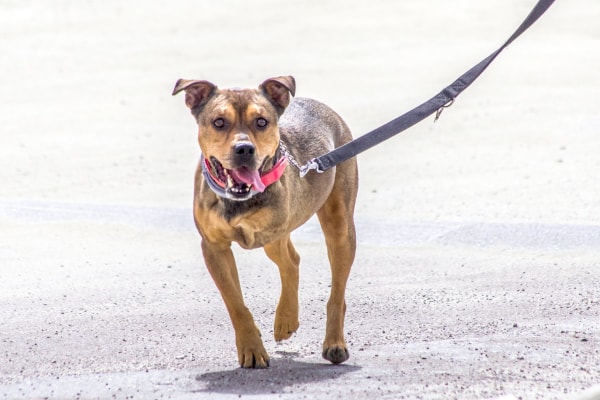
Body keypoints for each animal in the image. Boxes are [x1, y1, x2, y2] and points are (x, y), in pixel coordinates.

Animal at [170, 76, 356, 368]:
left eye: (261, 122)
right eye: (219, 122)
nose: (244, 148)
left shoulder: (272, 229)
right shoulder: (214, 247)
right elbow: (235, 303)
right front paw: (251, 347)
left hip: (340, 228)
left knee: (335, 292)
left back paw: (333, 342)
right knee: (292, 262)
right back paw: (286, 321)